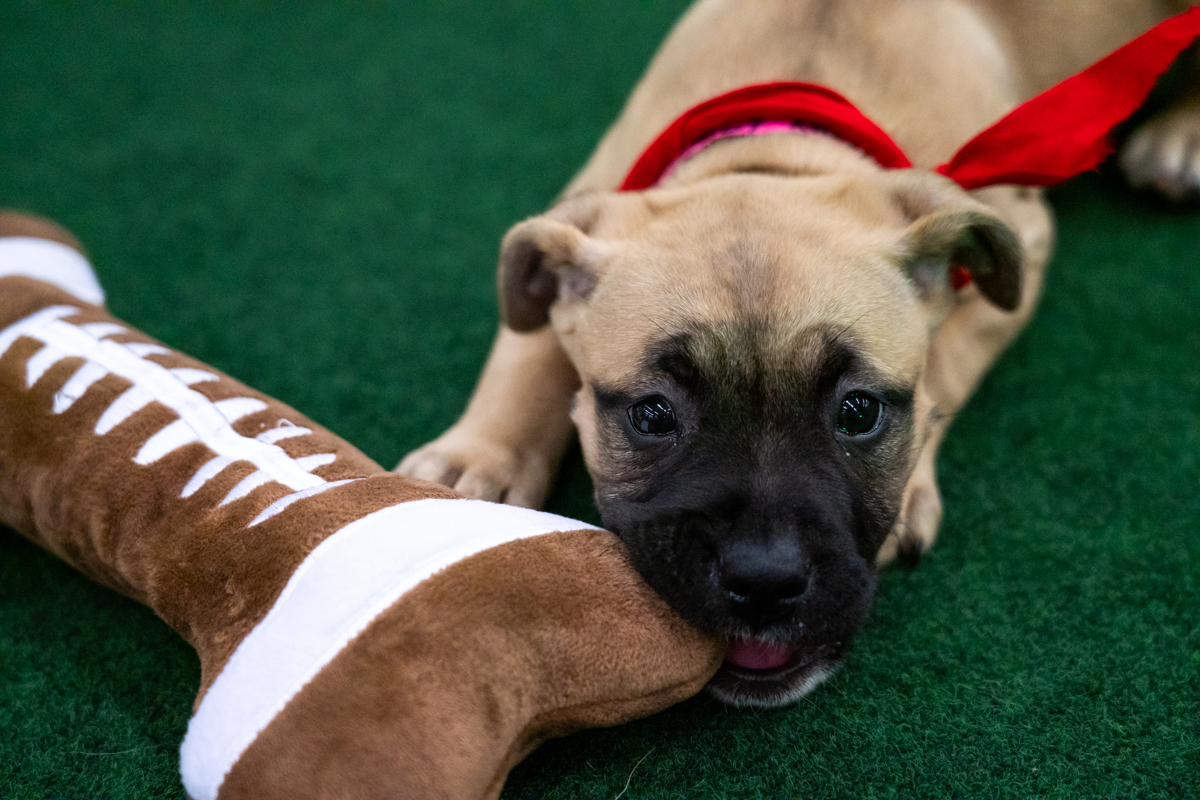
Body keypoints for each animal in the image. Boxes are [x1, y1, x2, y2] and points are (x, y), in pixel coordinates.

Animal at [398, 0, 1195, 705]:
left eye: (860, 412)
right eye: (652, 416)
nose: (763, 580)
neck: (777, 161)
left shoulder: (1016, 233)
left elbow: (942, 365)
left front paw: (913, 484)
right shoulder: (574, 219)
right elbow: (529, 345)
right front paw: (478, 460)